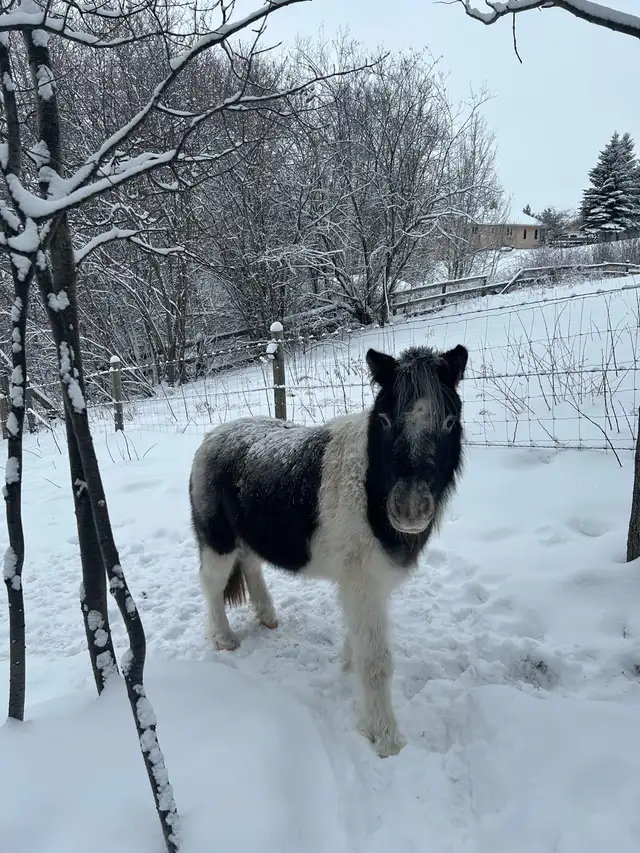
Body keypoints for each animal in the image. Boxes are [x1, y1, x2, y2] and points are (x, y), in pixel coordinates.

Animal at [188, 342, 468, 756]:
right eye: (385, 420)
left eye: (449, 421)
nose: (410, 509)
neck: (369, 488)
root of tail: (211, 436)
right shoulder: (362, 583)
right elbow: (376, 661)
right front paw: (386, 739)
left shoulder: (365, 586)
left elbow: (359, 643)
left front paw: (347, 669)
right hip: (217, 540)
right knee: (211, 584)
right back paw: (224, 639)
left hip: (247, 536)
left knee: (251, 565)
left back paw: (267, 616)